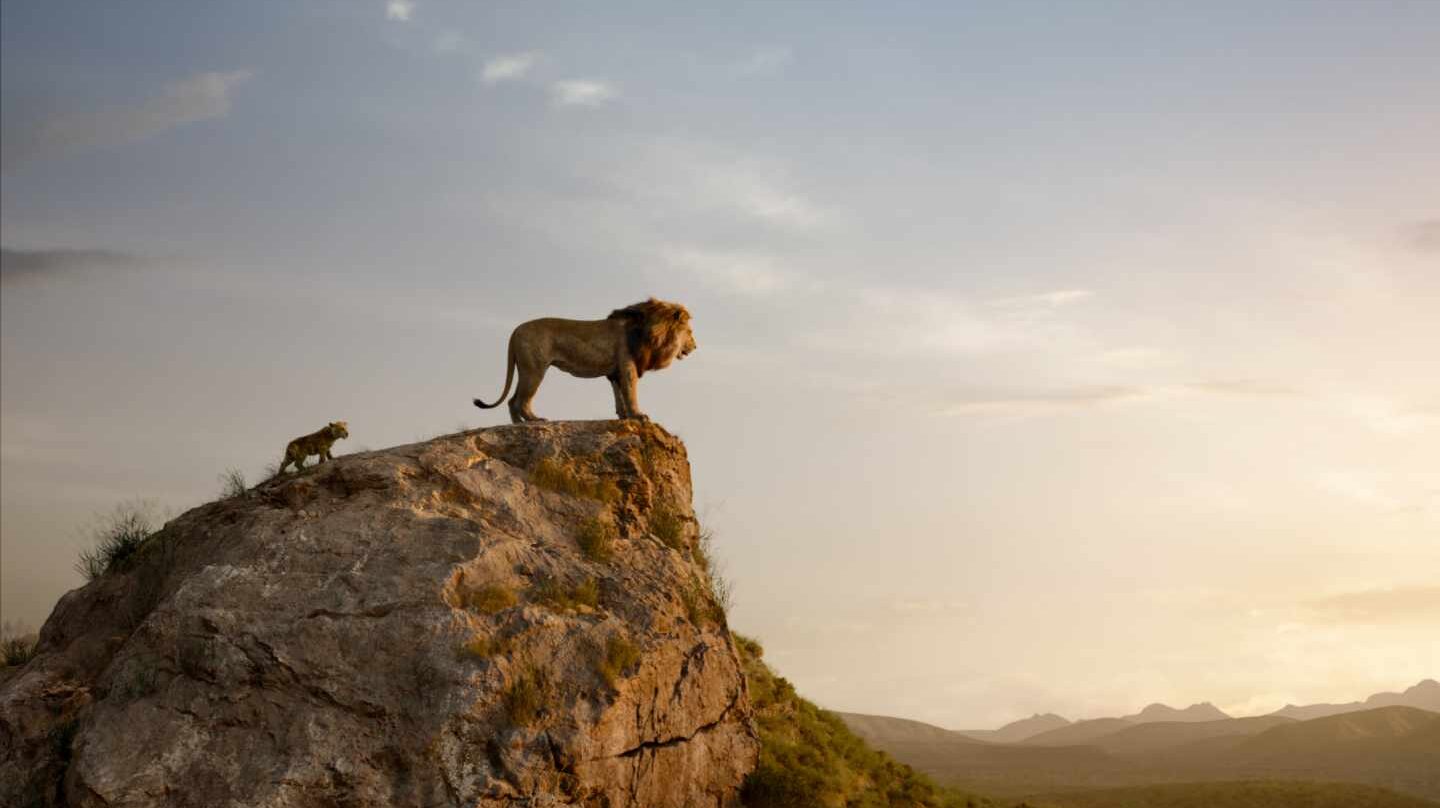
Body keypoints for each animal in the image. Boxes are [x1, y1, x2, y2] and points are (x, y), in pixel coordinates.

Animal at [472, 296, 696, 423]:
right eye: (690, 332)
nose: (695, 346)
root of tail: (515, 331)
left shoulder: (615, 371)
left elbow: (619, 395)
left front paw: (624, 416)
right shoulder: (628, 365)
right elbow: (630, 393)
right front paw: (638, 416)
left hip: (525, 368)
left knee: (512, 401)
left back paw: (519, 425)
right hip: (535, 369)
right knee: (521, 401)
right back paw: (535, 420)